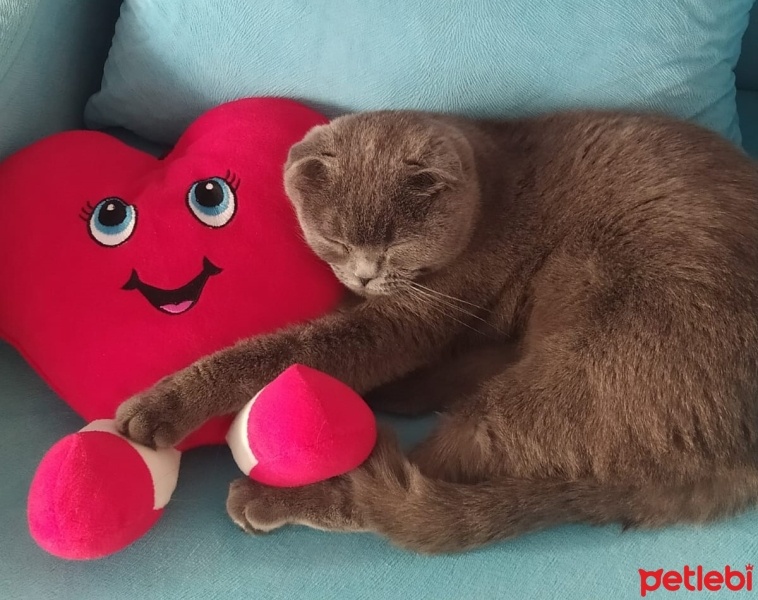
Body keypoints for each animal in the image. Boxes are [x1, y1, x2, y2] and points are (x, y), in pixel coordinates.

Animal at [114, 109, 758, 552]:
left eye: (395, 243)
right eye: (337, 240)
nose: (365, 274)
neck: (490, 190)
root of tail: (729, 465)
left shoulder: (414, 315)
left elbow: (290, 349)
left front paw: (160, 407)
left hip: (583, 363)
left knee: (414, 481)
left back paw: (270, 497)